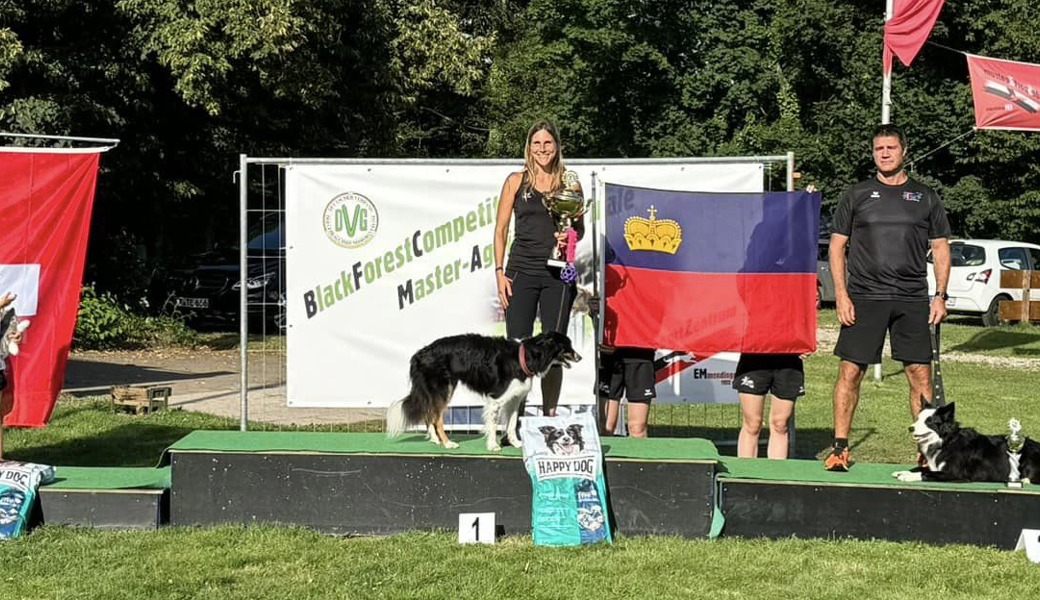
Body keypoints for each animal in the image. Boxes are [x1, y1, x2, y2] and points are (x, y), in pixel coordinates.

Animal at [386, 332, 582, 449]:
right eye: (568, 346)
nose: (580, 357)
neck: (525, 356)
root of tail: (419, 354)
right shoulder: (496, 399)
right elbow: (494, 425)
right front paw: (493, 445)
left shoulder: (514, 399)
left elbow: (512, 424)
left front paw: (516, 444)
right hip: (443, 389)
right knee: (438, 418)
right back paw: (448, 443)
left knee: (430, 415)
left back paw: (435, 440)